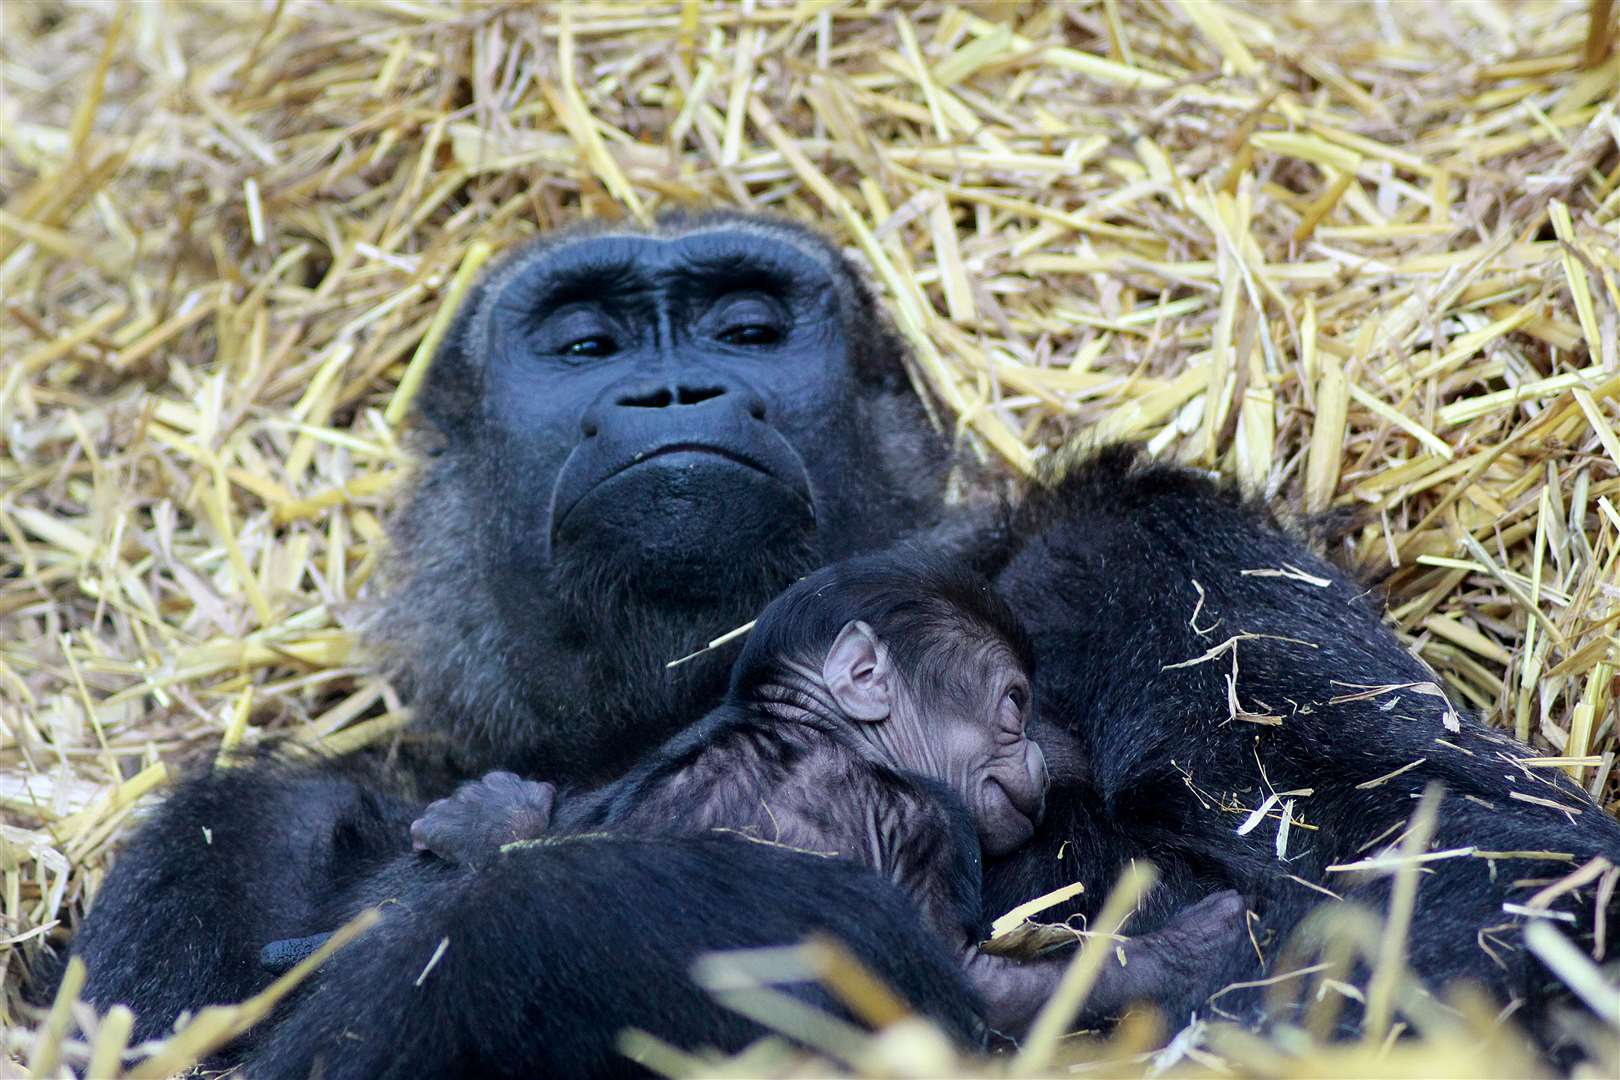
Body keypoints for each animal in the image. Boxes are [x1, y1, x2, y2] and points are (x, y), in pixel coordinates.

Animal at [414, 553, 1237, 1036]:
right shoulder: (928, 820)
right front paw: (1182, 954)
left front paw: (490, 820)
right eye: (1013, 704)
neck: (818, 730)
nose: (1035, 750)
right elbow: (964, 992)